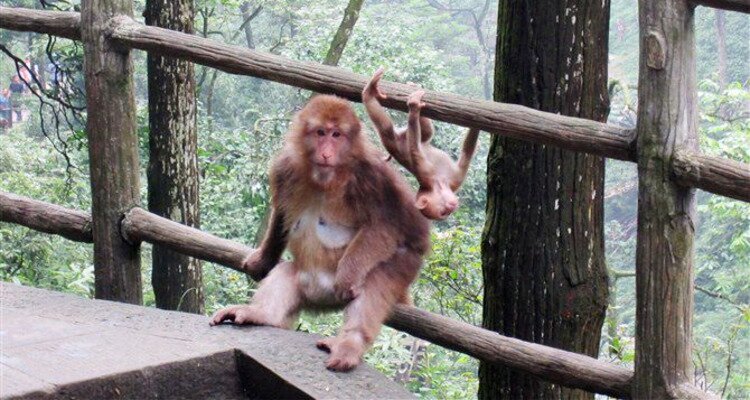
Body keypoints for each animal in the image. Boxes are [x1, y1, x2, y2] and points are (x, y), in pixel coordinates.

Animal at [210, 95, 430, 372]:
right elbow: (282, 213)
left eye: (337, 135)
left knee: (381, 275)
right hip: (308, 288)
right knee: (286, 271)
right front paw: (262, 260)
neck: (326, 176)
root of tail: (322, 299)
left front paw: (347, 276)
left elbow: (397, 226)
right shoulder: (285, 167)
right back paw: (260, 314)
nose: (326, 152)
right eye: (321, 133)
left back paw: (349, 343)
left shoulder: (373, 175)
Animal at [361, 68, 480, 221]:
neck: (441, 182)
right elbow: (416, 151)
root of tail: (401, 135)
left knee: (423, 131)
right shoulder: (434, 175)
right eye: (443, 213)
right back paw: (370, 94)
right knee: (387, 130)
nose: (452, 208)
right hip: (394, 143)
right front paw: (413, 107)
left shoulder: (452, 181)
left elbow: (467, 151)